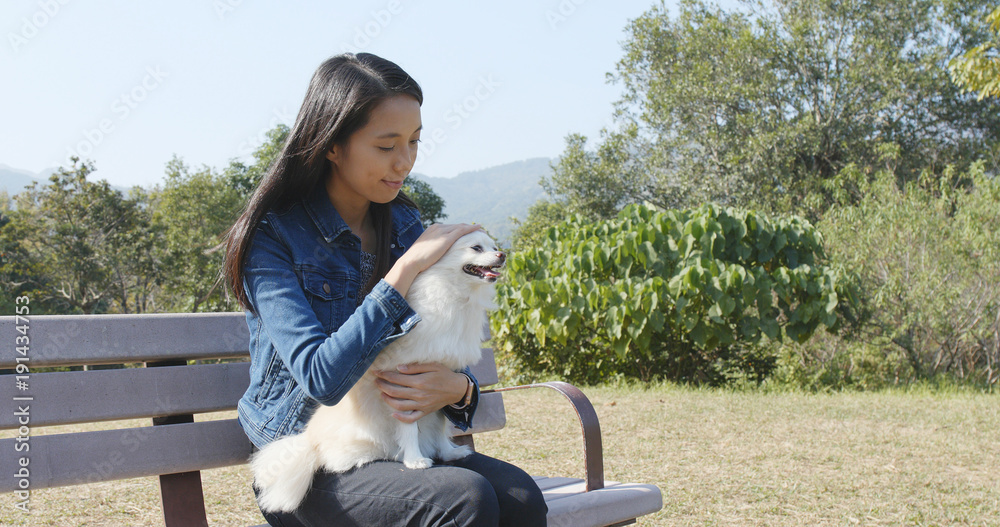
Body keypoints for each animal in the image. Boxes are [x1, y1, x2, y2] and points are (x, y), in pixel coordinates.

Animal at [247, 230, 504, 512]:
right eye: (476, 248)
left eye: (494, 246)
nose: (502, 254)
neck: (456, 294)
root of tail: (309, 443)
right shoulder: (404, 384)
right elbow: (409, 428)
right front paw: (415, 460)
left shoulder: (440, 383)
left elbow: (441, 424)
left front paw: (448, 452)